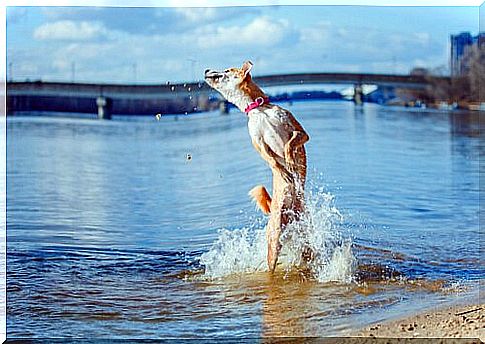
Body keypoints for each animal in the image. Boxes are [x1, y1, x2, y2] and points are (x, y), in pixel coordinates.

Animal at [204, 61, 310, 272]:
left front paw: (289, 159)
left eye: (227, 70)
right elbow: (271, 159)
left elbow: (290, 143)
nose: (205, 70)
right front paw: (284, 171)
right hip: (274, 241)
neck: (258, 110)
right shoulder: (257, 142)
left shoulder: (299, 131)